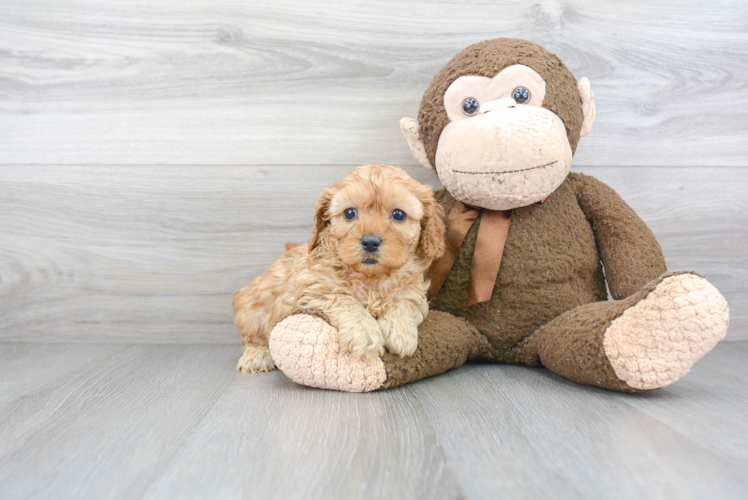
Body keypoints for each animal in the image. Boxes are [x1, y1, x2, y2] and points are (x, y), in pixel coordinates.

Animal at [232, 164, 444, 372]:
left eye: (398, 214)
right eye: (350, 213)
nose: (370, 242)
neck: (371, 279)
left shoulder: (414, 289)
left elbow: (404, 299)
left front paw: (400, 332)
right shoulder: (311, 287)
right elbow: (344, 299)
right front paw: (364, 334)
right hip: (252, 309)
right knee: (251, 338)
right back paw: (256, 355)